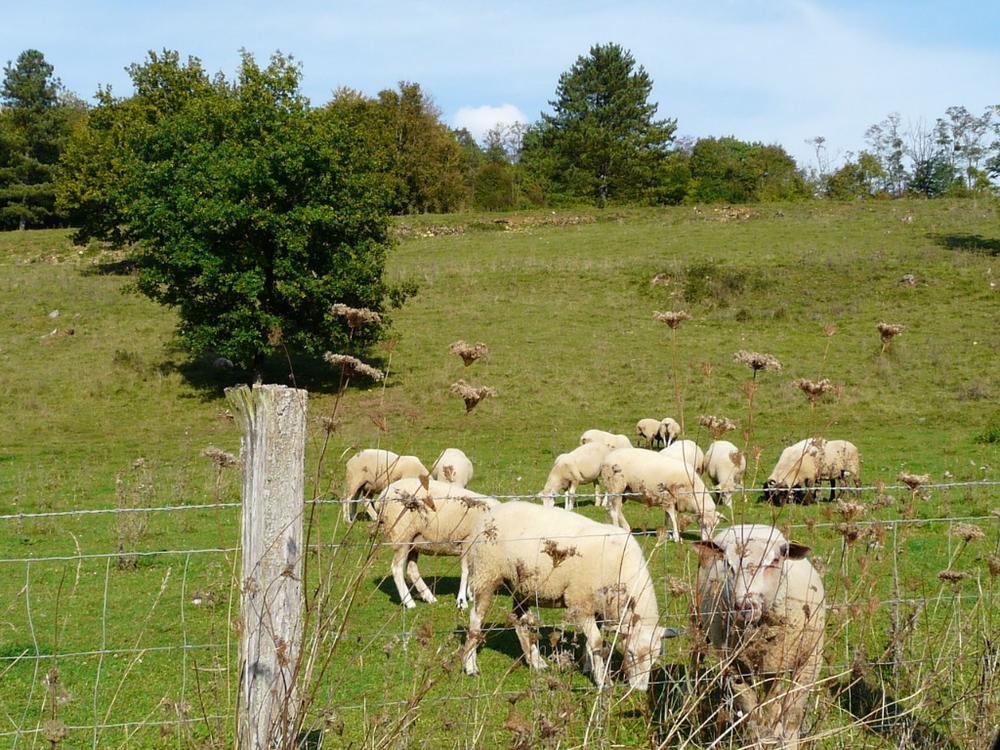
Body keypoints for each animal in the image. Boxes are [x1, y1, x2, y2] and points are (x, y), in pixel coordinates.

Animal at [374, 477, 498, 610]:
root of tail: (382, 496)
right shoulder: (466, 541)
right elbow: (466, 571)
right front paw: (461, 601)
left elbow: (472, 569)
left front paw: (471, 594)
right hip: (402, 535)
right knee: (396, 568)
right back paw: (409, 602)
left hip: (414, 541)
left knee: (412, 569)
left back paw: (429, 596)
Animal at [462, 501, 665, 690]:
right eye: (630, 652)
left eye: (655, 658)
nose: (639, 689)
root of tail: (488, 514)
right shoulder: (579, 602)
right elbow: (597, 642)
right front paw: (602, 680)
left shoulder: (597, 606)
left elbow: (589, 642)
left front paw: (588, 667)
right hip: (485, 573)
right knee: (476, 619)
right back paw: (470, 666)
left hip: (521, 586)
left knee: (520, 622)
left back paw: (536, 662)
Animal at [693, 524, 826, 749]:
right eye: (728, 564)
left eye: (774, 561)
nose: (745, 606)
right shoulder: (734, 666)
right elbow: (751, 713)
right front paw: (758, 741)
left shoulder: (809, 661)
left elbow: (792, 714)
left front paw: (786, 741)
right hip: (699, 623)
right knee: (695, 657)